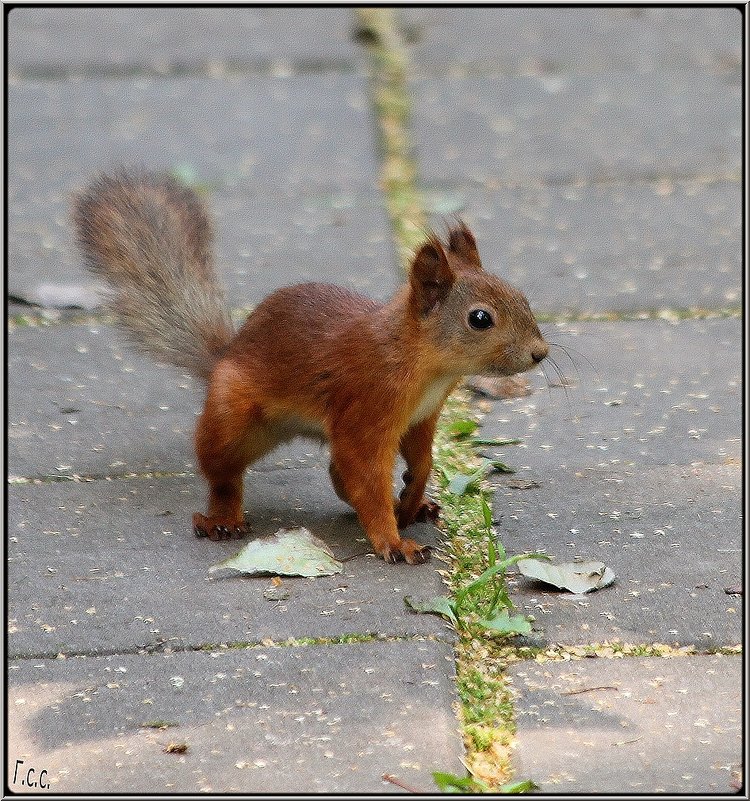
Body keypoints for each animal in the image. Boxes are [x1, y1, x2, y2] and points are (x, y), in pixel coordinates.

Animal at [73, 172, 548, 564]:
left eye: (522, 297)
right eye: (480, 318)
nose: (540, 353)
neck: (423, 364)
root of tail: (223, 356)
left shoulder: (421, 417)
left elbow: (421, 459)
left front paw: (414, 494)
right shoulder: (366, 409)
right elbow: (366, 476)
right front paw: (393, 542)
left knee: (337, 477)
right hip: (233, 417)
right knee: (225, 472)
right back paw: (222, 517)